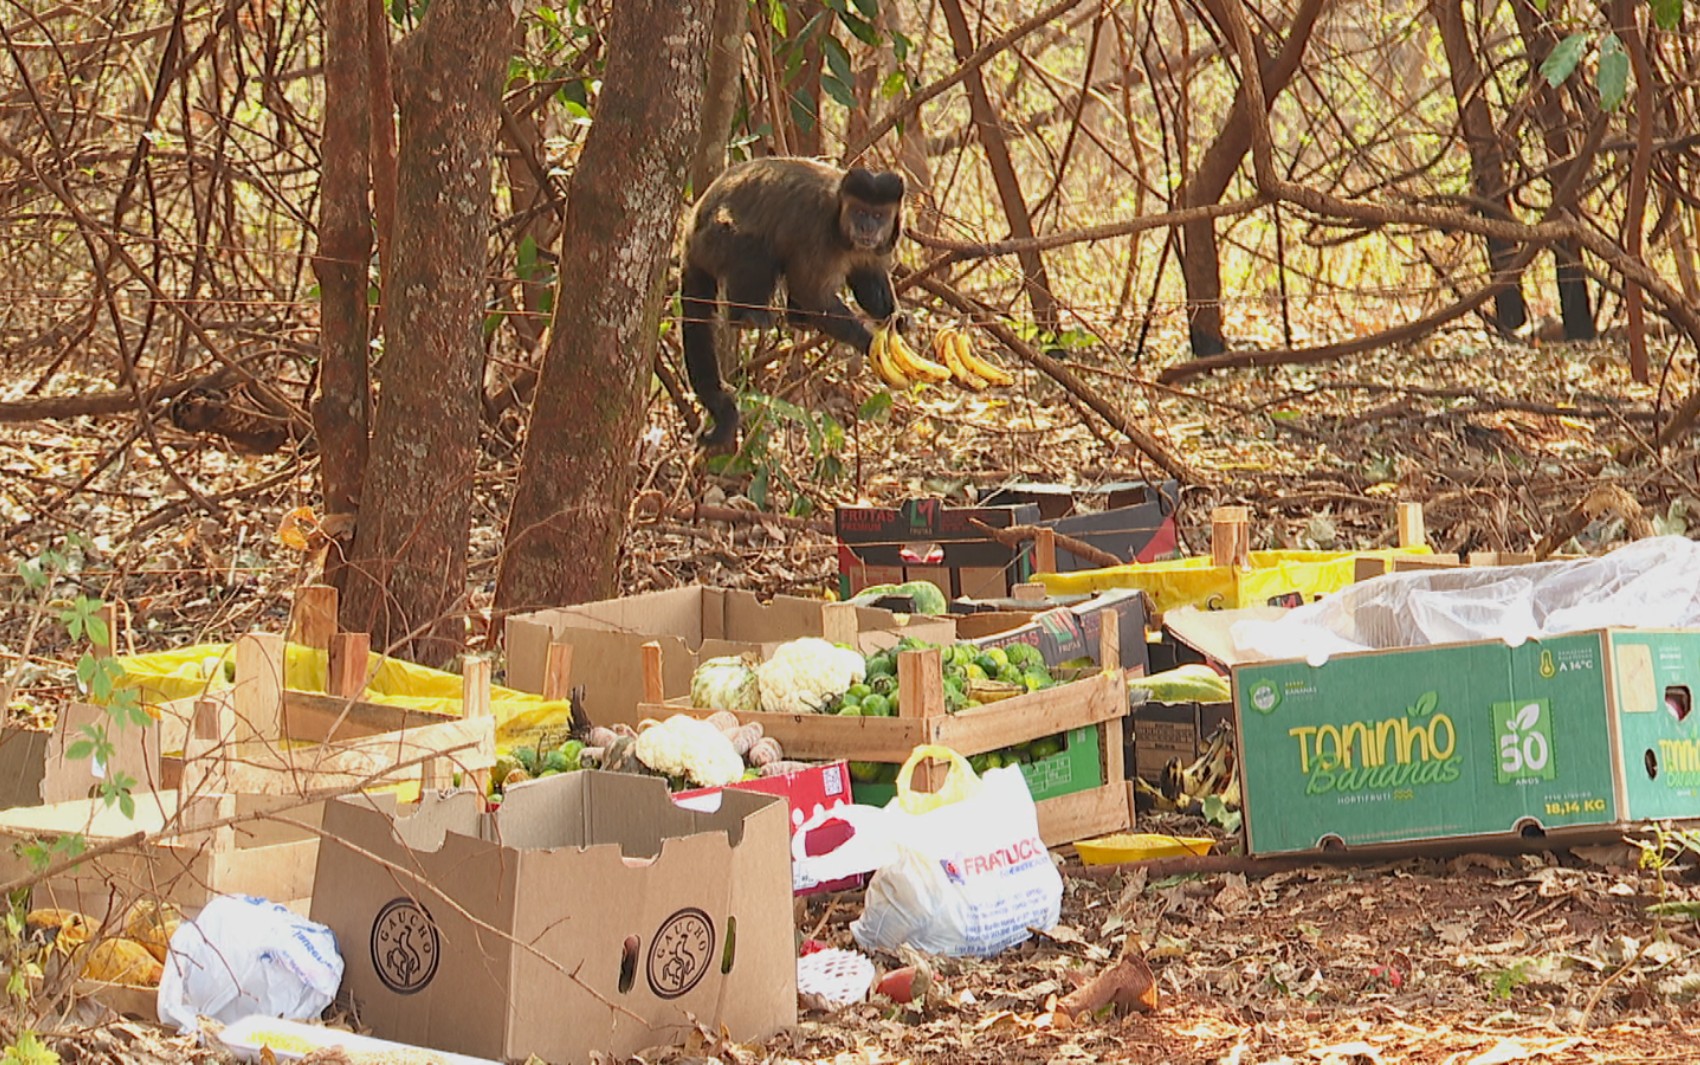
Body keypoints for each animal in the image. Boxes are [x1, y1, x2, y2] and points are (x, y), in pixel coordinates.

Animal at [683, 155, 911, 445]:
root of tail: (690, 232)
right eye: (860, 212)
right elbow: (812, 292)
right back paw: (748, 317)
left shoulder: (875, 245)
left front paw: (897, 319)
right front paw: (868, 341)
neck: (840, 225)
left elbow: (868, 279)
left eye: (878, 215)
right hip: (713, 241)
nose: (867, 226)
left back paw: (797, 320)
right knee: (754, 246)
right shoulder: (818, 231)